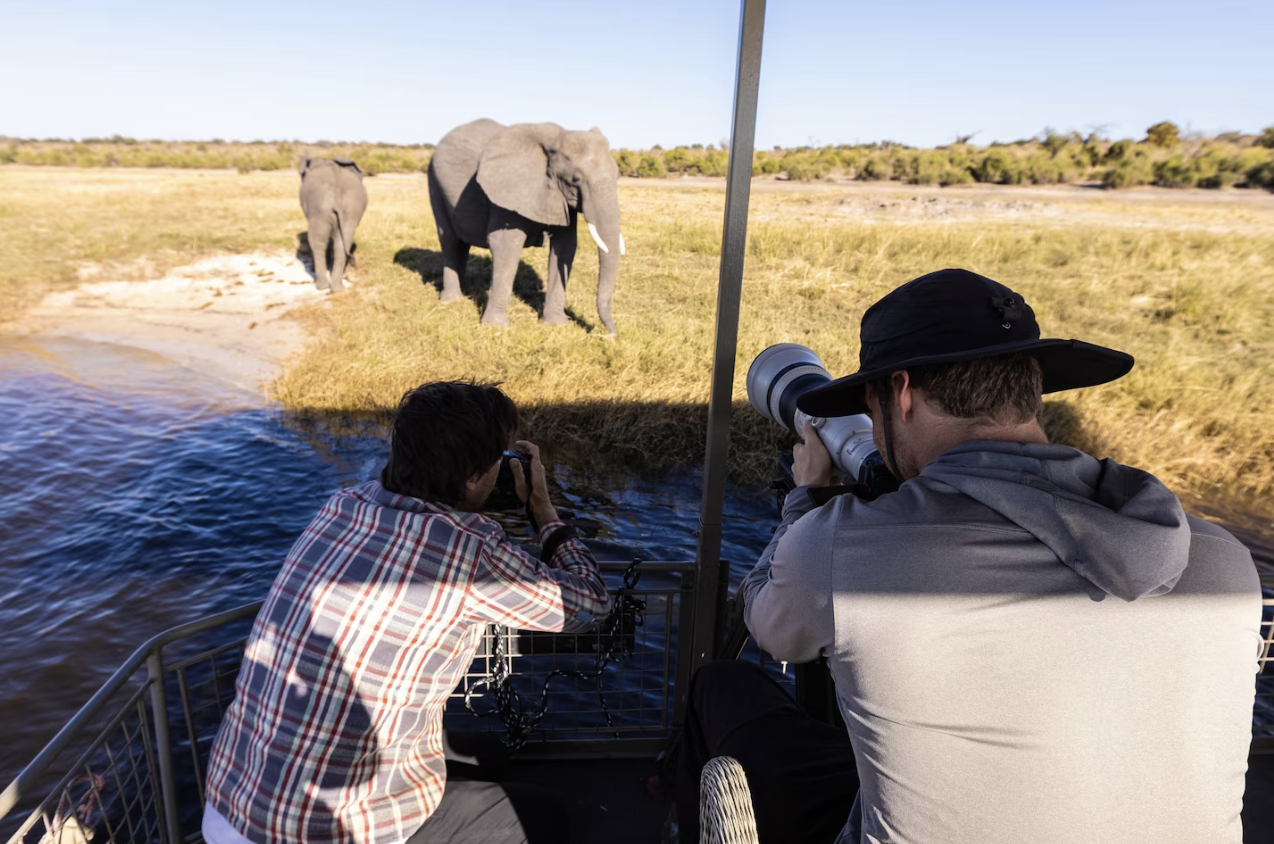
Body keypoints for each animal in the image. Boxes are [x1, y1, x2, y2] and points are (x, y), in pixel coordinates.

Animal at [301, 156, 372, 293]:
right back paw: (337, 288)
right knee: (343, 242)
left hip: (319, 208)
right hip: (352, 208)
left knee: (317, 240)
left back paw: (322, 286)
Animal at [428, 117, 626, 334]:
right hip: (434, 183)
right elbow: (505, 246)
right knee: (448, 239)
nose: (609, 335)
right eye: (575, 180)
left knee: (462, 242)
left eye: (617, 175)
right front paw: (496, 326)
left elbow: (565, 246)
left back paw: (466, 291)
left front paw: (556, 324)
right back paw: (452, 300)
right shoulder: (508, 191)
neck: (556, 140)